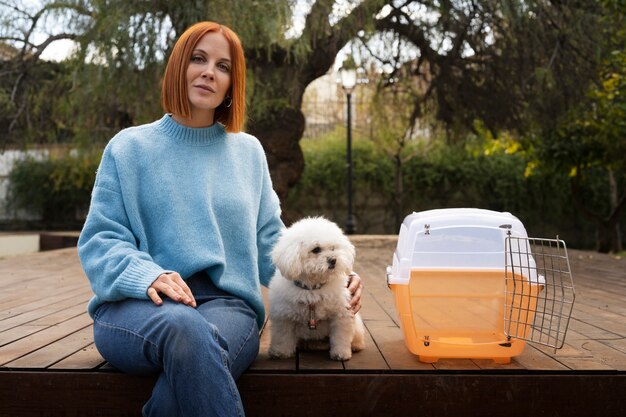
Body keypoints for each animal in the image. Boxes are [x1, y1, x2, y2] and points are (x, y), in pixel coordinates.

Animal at [266, 216, 364, 360]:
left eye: (333, 248)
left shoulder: (341, 315)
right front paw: (280, 352)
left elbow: (340, 337)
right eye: (316, 249)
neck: (313, 288)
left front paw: (341, 353)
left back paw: (356, 345)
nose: (333, 260)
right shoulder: (284, 317)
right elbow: (283, 337)